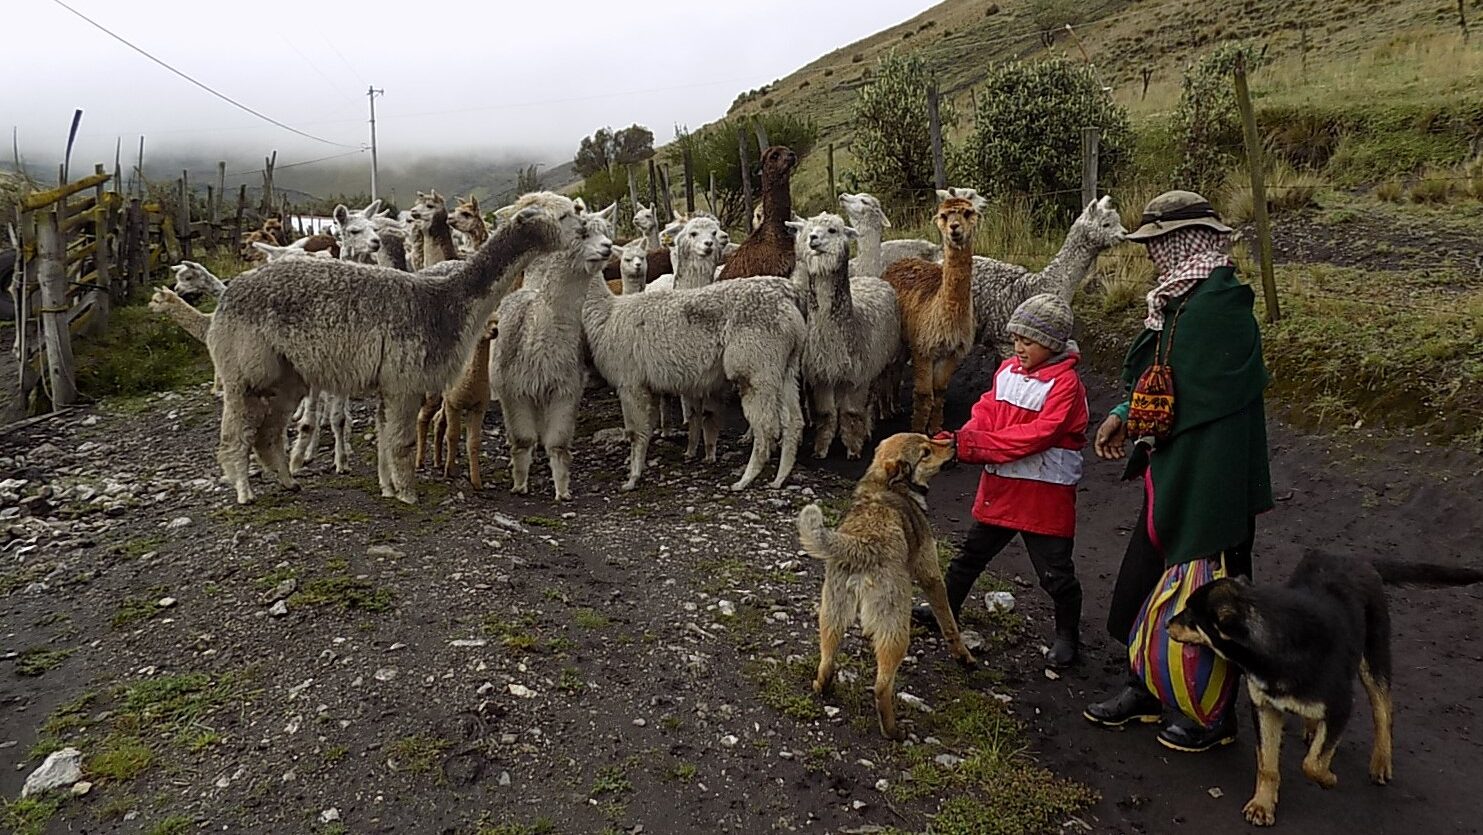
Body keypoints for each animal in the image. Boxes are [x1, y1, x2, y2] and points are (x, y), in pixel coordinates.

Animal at [796, 432, 973, 740]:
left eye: (929, 439)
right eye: (926, 452)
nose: (952, 442)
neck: (885, 483)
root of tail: (861, 544)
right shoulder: (931, 575)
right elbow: (948, 621)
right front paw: (964, 656)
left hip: (832, 613)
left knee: (827, 661)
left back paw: (822, 686)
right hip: (895, 628)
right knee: (881, 687)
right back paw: (893, 731)